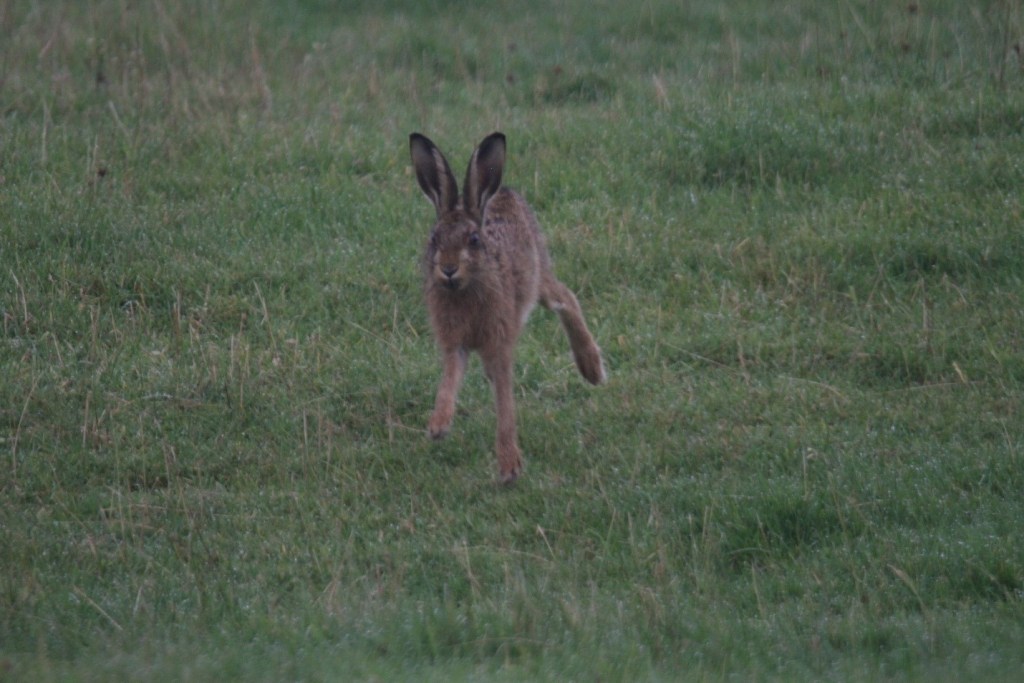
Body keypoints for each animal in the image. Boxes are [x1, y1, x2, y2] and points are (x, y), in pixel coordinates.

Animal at [409, 131, 606, 484]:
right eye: (434, 239)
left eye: (474, 240)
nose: (448, 269)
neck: (466, 289)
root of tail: (504, 191)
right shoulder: (456, 344)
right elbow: (449, 381)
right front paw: (438, 426)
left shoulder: (498, 344)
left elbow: (504, 401)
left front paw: (509, 467)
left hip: (539, 280)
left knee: (566, 297)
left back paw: (592, 368)